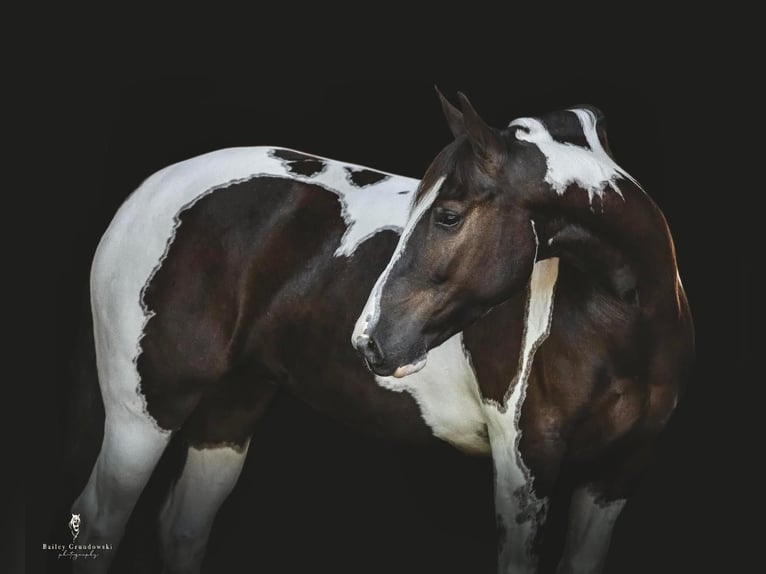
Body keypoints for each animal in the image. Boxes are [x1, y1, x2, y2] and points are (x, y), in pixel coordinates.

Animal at [72, 91, 696, 574]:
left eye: (448, 215)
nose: (368, 340)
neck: (620, 329)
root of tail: (150, 190)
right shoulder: (527, 468)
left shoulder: (618, 475)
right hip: (144, 412)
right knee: (99, 524)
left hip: (233, 407)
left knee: (182, 528)